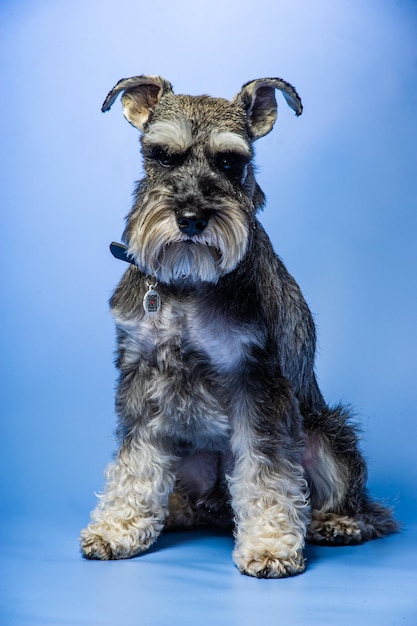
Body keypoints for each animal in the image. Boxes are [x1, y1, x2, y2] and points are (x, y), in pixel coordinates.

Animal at [80, 73, 396, 576]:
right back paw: (176, 511)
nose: (191, 218)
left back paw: (336, 523)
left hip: (326, 433)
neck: (188, 284)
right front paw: (118, 527)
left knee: (362, 507)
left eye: (230, 162)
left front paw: (270, 546)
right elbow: (135, 462)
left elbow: (266, 471)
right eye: (161, 155)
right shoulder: (140, 378)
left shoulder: (257, 379)